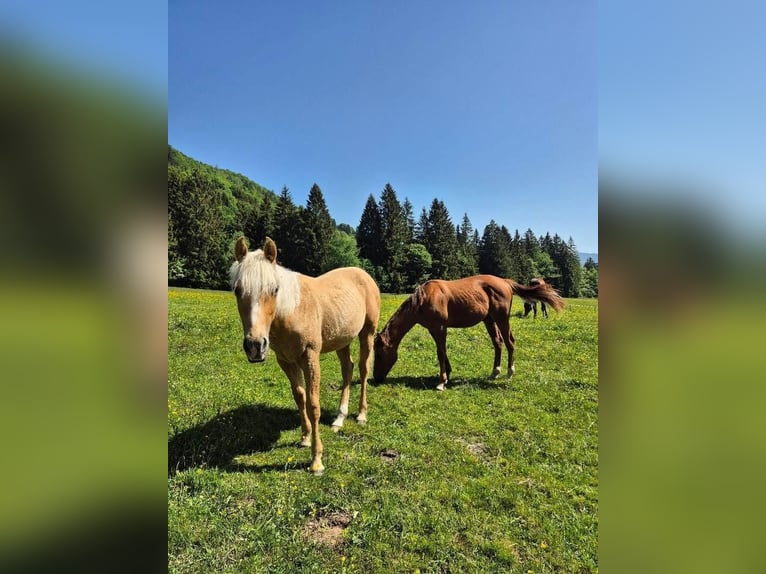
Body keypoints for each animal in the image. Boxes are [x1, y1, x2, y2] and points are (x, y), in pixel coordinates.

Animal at [230, 236, 380, 475]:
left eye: (274, 289)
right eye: (237, 290)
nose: (255, 346)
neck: (292, 311)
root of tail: (363, 274)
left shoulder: (310, 357)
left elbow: (313, 405)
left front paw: (316, 461)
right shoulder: (286, 361)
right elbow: (299, 398)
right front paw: (305, 439)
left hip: (367, 333)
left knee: (363, 370)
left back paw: (361, 415)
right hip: (342, 339)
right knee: (347, 369)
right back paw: (339, 418)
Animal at [373, 274, 563, 390]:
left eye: (379, 354)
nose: (376, 378)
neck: (424, 299)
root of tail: (505, 281)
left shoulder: (439, 327)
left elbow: (440, 353)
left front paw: (441, 382)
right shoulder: (434, 329)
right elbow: (442, 351)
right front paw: (447, 374)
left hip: (501, 318)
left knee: (509, 342)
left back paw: (509, 373)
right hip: (489, 320)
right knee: (498, 343)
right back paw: (495, 372)